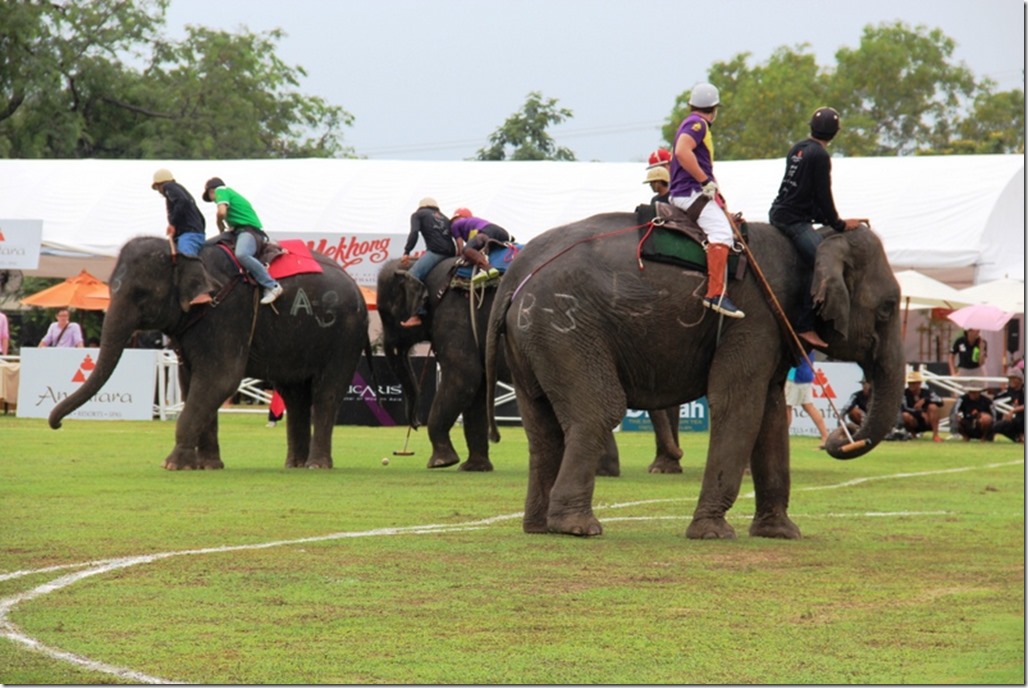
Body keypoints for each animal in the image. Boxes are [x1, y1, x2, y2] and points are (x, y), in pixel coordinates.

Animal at [49, 233, 370, 468]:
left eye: (141, 294)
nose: (57, 425)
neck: (187, 253)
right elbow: (191, 383)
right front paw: (207, 466)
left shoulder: (226, 314)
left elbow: (219, 379)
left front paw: (173, 465)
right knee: (294, 395)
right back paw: (294, 465)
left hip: (344, 337)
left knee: (326, 394)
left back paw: (316, 465)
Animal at [485, 211, 904, 538]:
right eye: (887, 308)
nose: (841, 438)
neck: (811, 242)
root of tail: (514, 276)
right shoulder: (754, 319)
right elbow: (738, 405)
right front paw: (712, 533)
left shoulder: (769, 329)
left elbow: (769, 414)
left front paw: (782, 533)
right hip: (565, 328)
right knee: (600, 410)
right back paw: (577, 527)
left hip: (533, 341)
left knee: (541, 424)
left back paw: (538, 526)